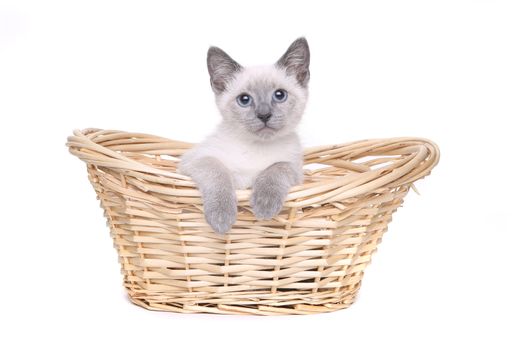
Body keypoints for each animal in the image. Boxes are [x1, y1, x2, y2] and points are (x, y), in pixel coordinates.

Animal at [178, 37, 310, 235]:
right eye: (244, 100)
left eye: (279, 95)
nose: (264, 115)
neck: (256, 147)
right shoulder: (195, 160)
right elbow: (218, 171)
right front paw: (221, 217)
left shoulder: (295, 169)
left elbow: (278, 167)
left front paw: (264, 204)